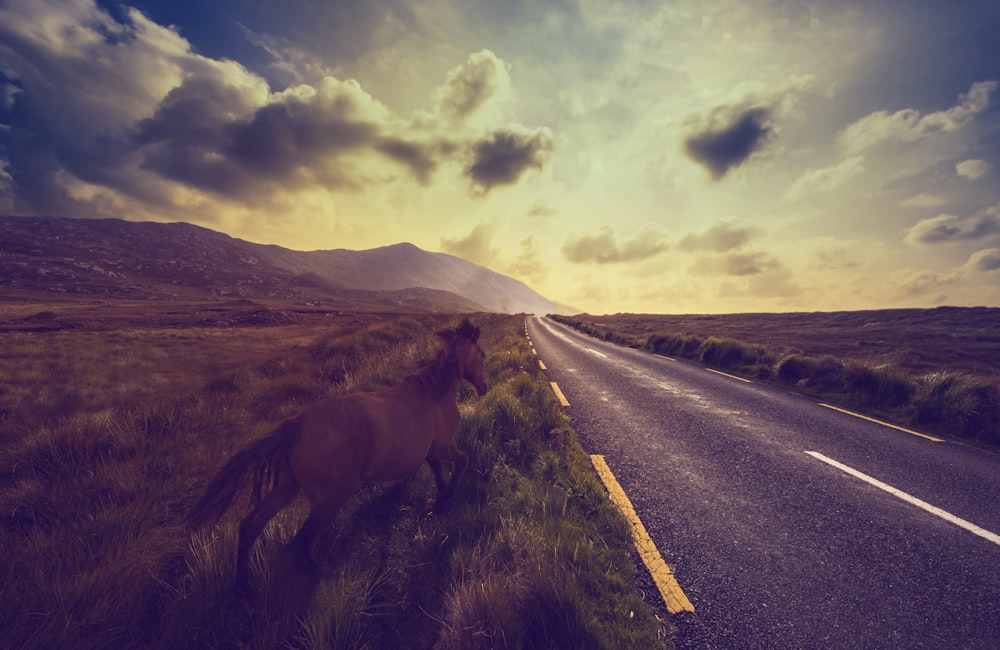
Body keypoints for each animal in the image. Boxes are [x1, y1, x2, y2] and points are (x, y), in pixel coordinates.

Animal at [188, 316, 488, 596]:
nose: (484, 387)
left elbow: (438, 472)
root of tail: (297, 424)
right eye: (482, 355)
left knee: (251, 526)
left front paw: (438, 502)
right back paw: (321, 575)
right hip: (329, 500)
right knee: (297, 545)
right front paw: (445, 499)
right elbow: (461, 462)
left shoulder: (432, 451)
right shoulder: (443, 446)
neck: (433, 392)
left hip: (286, 488)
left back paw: (244, 588)